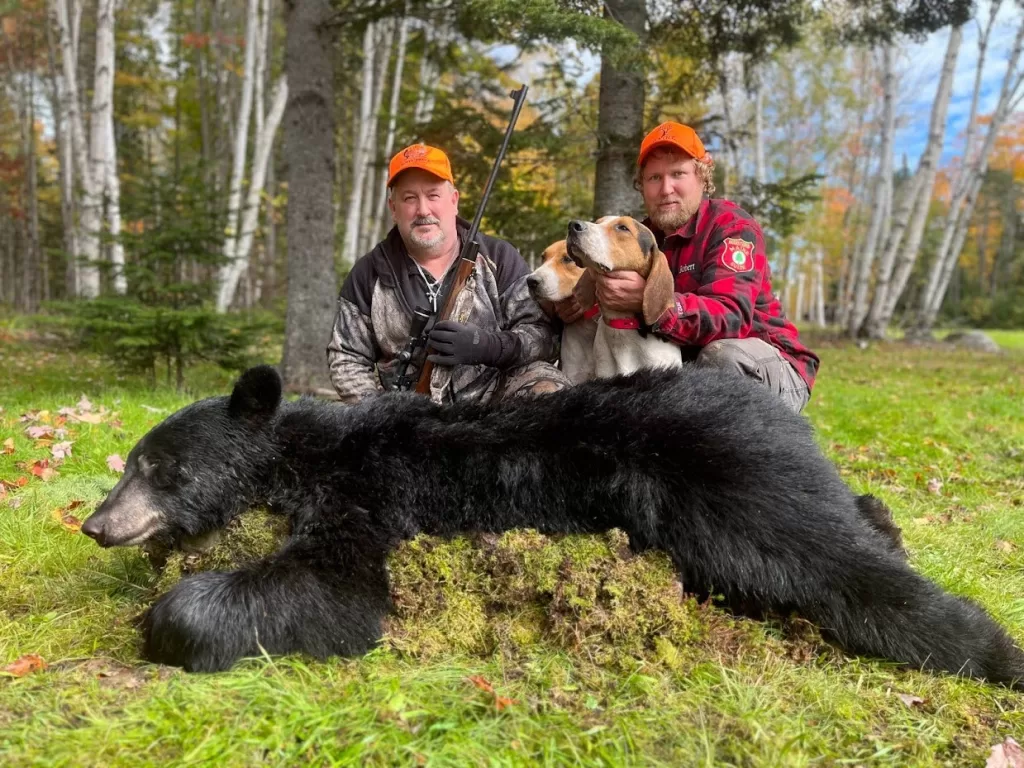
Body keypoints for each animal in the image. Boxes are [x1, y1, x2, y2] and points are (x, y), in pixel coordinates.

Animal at [81, 364, 1024, 686]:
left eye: (159, 467)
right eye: (127, 462)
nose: (95, 524)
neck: (308, 450)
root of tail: (775, 410)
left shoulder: (371, 493)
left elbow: (342, 586)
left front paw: (167, 616)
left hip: (723, 484)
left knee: (826, 561)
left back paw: (994, 653)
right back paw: (884, 518)